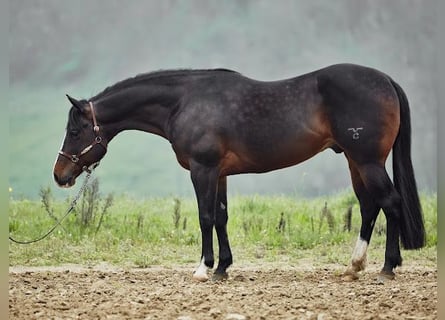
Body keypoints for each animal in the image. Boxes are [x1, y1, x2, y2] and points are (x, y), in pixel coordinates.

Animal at [53, 63, 424, 282]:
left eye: (75, 131)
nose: (59, 175)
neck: (185, 102)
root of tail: (385, 81)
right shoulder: (219, 174)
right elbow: (221, 217)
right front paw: (222, 268)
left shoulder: (202, 170)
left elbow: (204, 217)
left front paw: (203, 269)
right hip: (355, 162)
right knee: (369, 207)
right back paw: (354, 266)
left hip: (367, 161)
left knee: (390, 203)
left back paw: (387, 268)